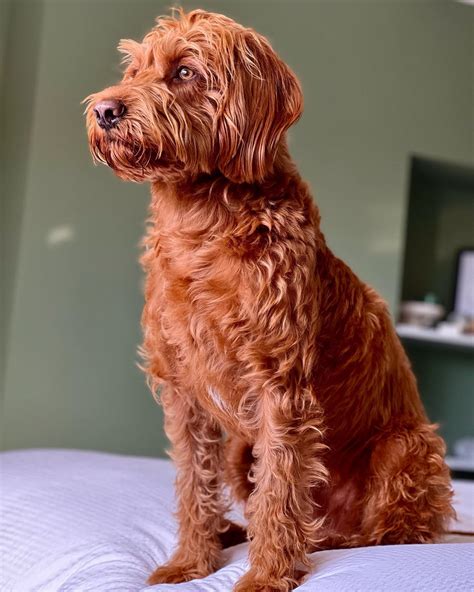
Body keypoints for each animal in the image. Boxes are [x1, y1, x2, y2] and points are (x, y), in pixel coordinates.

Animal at [84, 10, 452, 592]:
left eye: (184, 71)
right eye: (134, 69)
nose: (104, 110)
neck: (201, 226)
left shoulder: (281, 383)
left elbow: (280, 486)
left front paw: (268, 574)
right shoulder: (183, 394)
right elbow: (194, 483)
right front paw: (192, 562)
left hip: (406, 449)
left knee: (392, 534)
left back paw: (329, 541)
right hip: (241, 449)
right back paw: (234, 533)